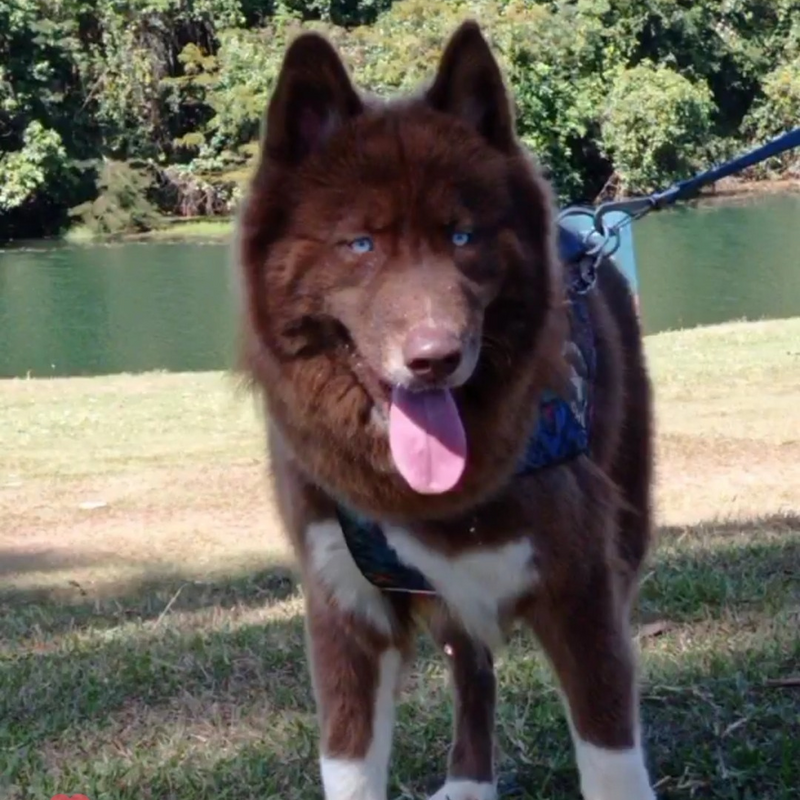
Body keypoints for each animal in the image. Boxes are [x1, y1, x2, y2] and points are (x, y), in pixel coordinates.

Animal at [233, 18, 656, 800]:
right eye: (360, 243)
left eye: (463, 235)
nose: (434, 357)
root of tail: (587, 227)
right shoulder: (343, 608)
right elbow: (350, 767)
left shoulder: (582, 588)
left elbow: (611, 756)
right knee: (472, 670)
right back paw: (468, 781)